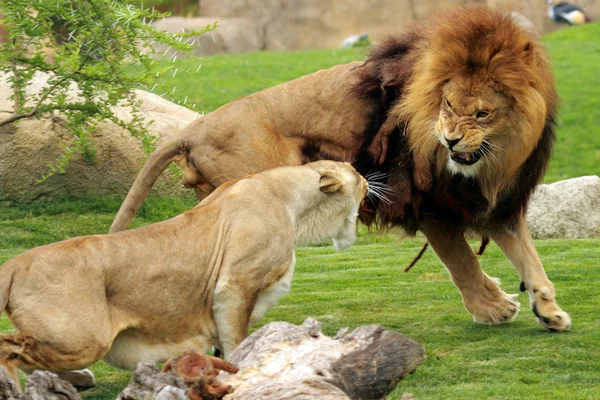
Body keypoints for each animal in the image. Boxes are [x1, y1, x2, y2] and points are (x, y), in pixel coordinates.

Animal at [0, 161, 366, 386]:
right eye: (354, 172)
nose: (368, 179)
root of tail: (14, 263)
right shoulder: (235, 286)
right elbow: (237, 340)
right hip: (85, 338)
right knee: (10, 350)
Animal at [109, 7, 572, 332]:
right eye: (447, 104)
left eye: (481, 113)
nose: (450, 140)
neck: (496, 158)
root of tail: (196, 125)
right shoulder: (430, 205)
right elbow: (462, 263)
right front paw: (494, 308)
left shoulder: (495, 204)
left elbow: (531, 260)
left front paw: (549, 311)